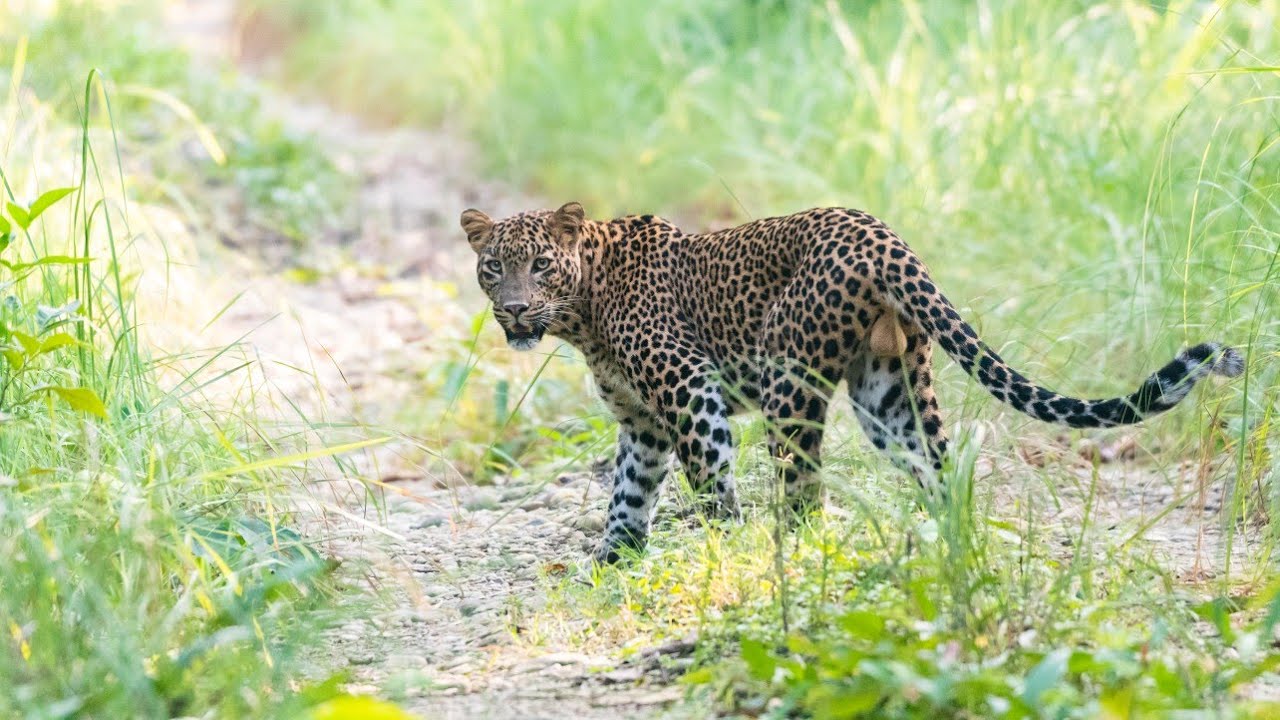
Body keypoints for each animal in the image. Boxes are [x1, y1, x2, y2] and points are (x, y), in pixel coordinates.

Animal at [459, 202, 1244, 564]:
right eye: (493, 267)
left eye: (541, 265)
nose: (516, 309)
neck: (583, 315)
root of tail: (880, 234)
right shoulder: (641, 421)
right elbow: (628, 490)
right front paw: (613, 560)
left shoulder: (688, 392)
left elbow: (709, 476)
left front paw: (720, 549)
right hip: (890, 389)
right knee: (936, 467)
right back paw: (945, 539)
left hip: (789, 379)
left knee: (805, 487)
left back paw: (783, 554)